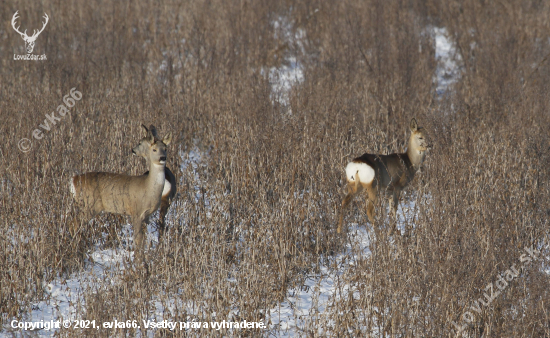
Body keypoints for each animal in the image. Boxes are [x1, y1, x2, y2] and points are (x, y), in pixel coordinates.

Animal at [70, 125, 172, 262]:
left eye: (165, 149)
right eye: (154, 149)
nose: (162, 158)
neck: (148, 188)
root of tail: (74, 180)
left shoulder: (147, 216)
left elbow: (143, 240)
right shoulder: (136, 212)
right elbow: (138, 240)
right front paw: (138, 262)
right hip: (88, 205)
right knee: (74, 224)